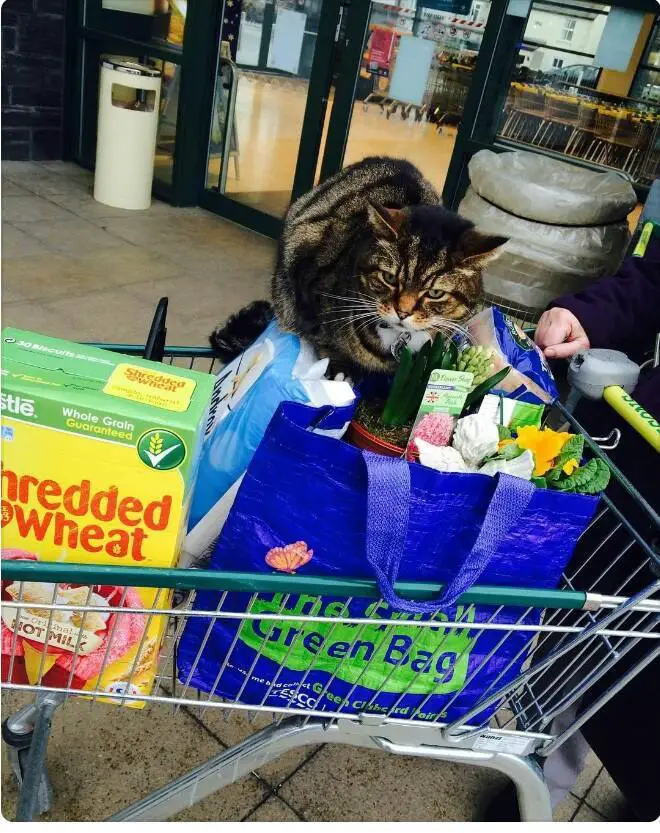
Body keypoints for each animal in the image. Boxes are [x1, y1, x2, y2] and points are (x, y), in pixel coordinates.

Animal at [210, 155, 506, 374]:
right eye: (389, 278)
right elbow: (324, 338)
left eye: (435, 293)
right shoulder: (306, 269)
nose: (402, 312)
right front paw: (342, 371)